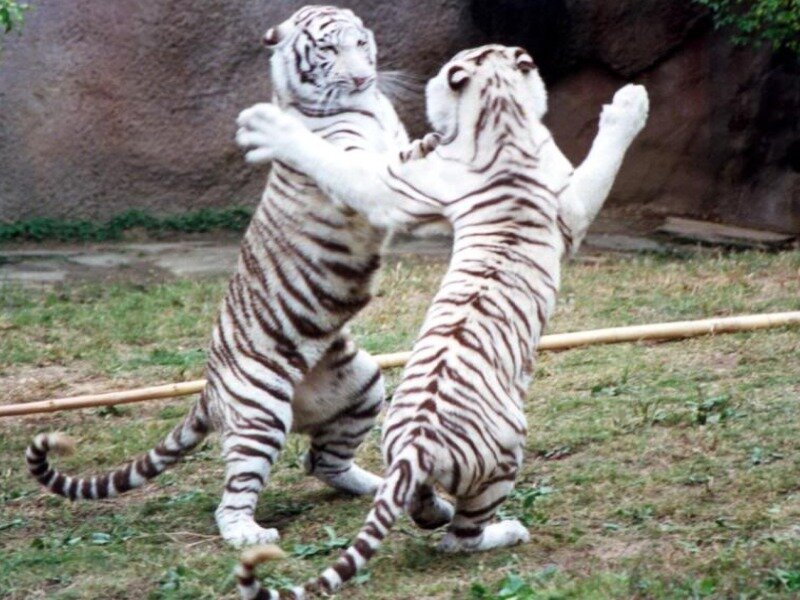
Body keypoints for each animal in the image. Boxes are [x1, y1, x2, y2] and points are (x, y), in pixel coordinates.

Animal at [24, 5, 427, 549]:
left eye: (362, 43)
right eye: (329, 50)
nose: (363, 78)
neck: (365, 106)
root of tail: (209, 388)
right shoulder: (359, 170)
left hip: (362, 384)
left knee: (321, 461)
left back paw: (372, 484)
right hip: (261, 410)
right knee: (236, 496)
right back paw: (249, 535)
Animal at [233, 44, 649, 597]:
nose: (427, 84)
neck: (500, 114)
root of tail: (414, 448)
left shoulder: (407, 190)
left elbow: (347, 171)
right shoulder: (571, 199)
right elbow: (604, 157)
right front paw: (631, 102)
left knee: (427, 511)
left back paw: (437, 511)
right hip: (505, 453)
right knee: (460, 541)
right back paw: (506, 531)